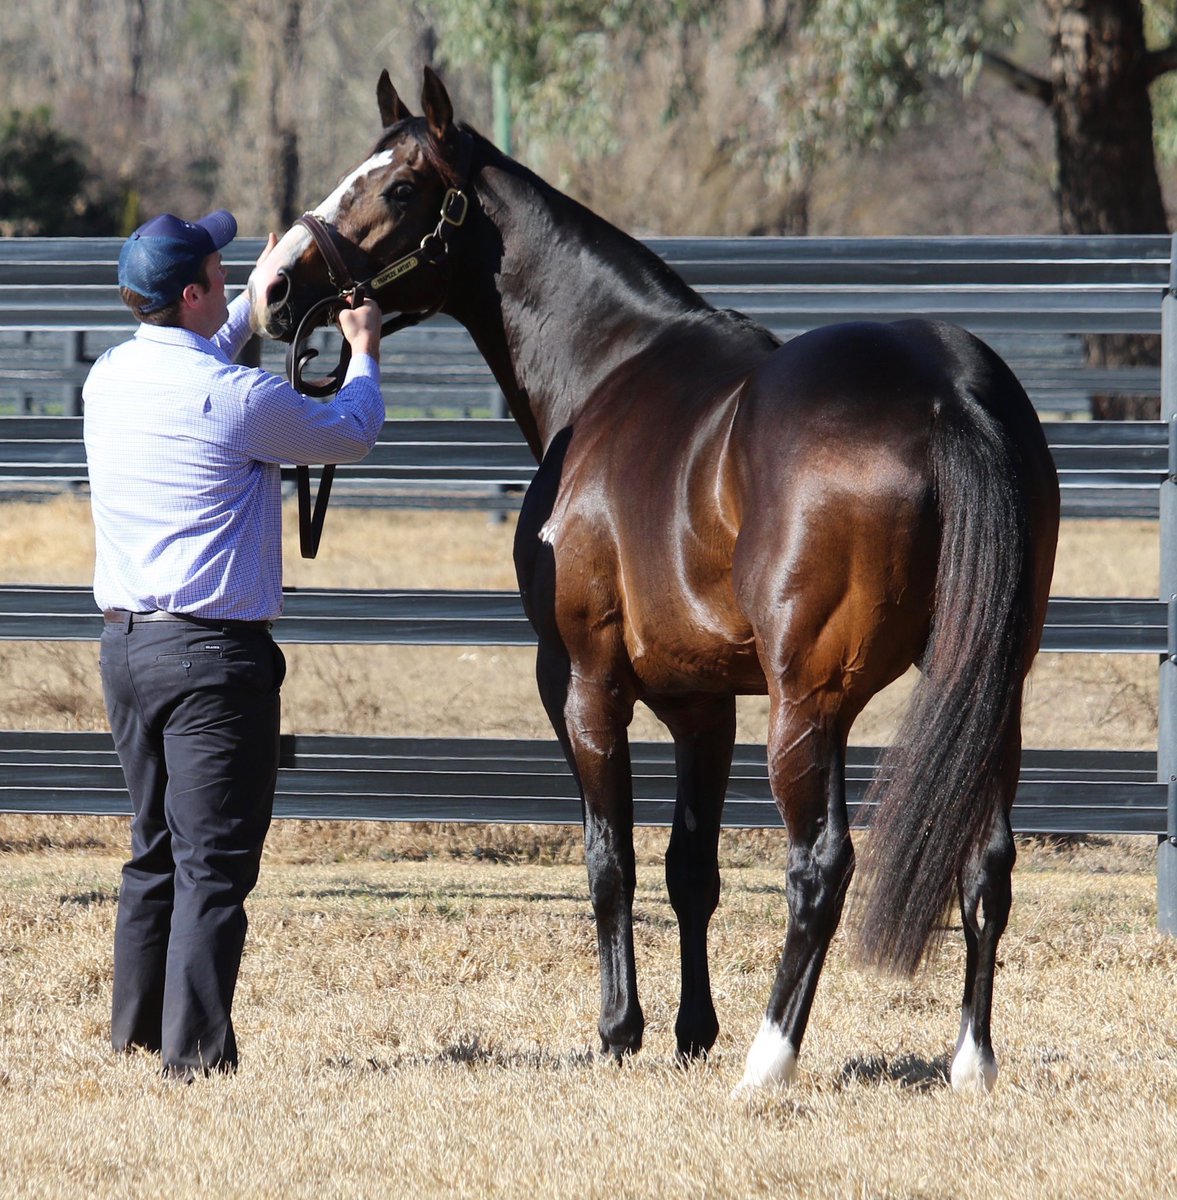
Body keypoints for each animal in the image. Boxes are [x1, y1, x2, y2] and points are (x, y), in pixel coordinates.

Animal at [248, 67, 1060, 1094]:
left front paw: (619, 1030)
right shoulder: (700, 702)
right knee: (984, 862)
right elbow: (689, 868)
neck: (612, 364)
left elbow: (611, 861)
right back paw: (969, 1063)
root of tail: (947, 391)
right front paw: (688, 1030)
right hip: (989, 686)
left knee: (820, 866)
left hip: (810, 703)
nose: (273, 286)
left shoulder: (583, 683)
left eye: (397, 188)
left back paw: (766, 1064)